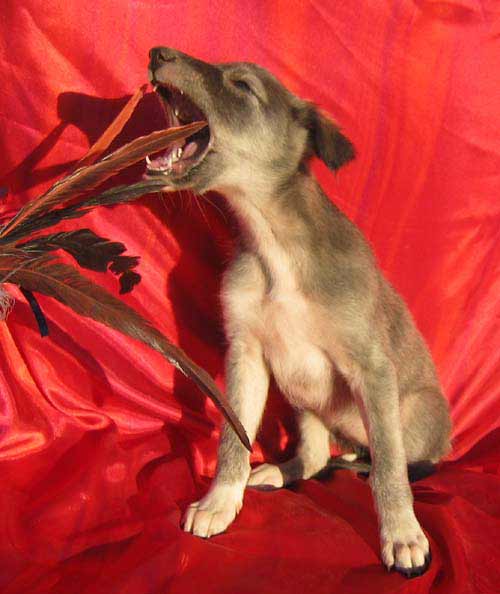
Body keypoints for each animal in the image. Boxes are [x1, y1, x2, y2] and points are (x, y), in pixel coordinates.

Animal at [147, 47, 452, 578]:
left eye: (242, 86)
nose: (157, 53)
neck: (274, 243)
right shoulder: (245, 356)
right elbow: (233, 440)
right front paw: (220, 501)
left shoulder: (372, 368)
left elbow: (389, 466)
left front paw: (402, 533)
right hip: (305, 402)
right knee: (313, 456)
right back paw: (279, 471)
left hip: (417, 412)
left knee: (405, 456)